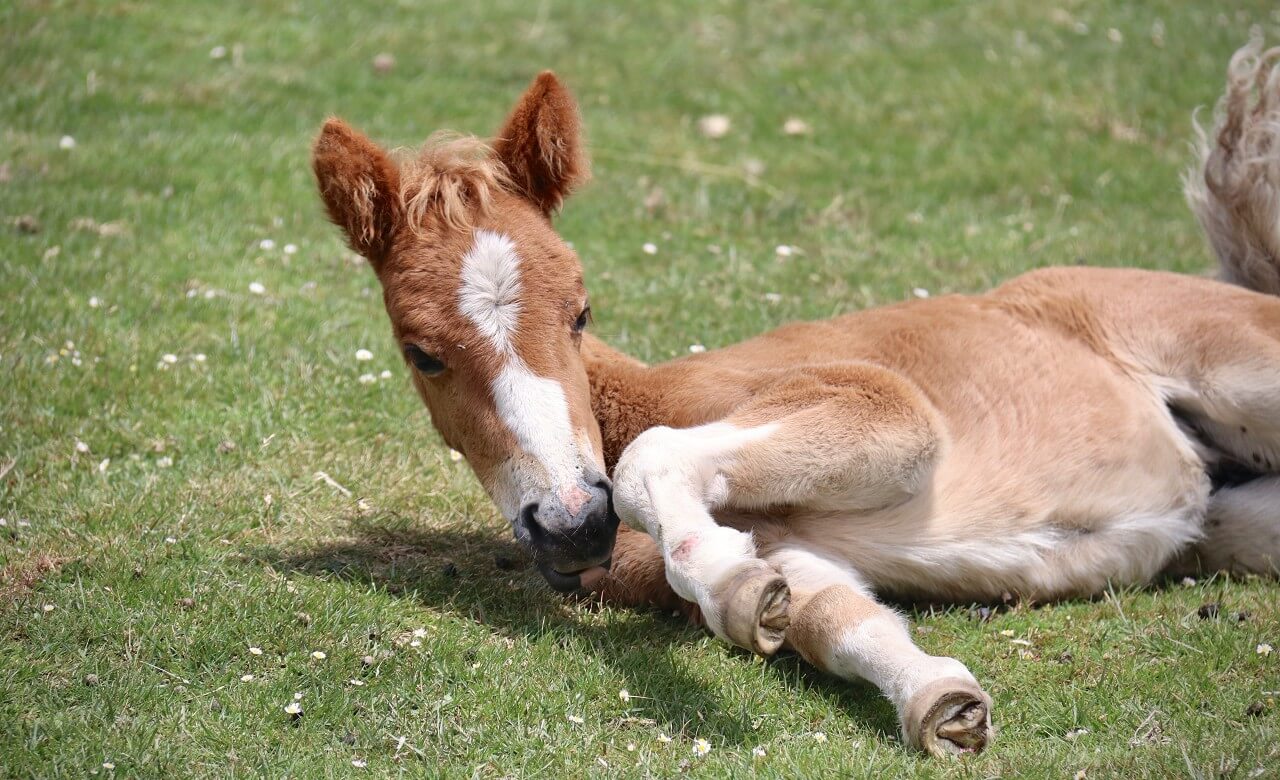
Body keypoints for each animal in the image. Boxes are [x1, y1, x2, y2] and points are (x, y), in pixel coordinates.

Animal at [311, 34, 1280, 756]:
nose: (573, 523)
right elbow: (833, 618)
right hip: (1236, 523)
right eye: (422, 354)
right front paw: (933, 697)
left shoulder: (881, 405)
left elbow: (656, 461)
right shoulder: (795, 553)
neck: (642, 397)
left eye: (581, 311)